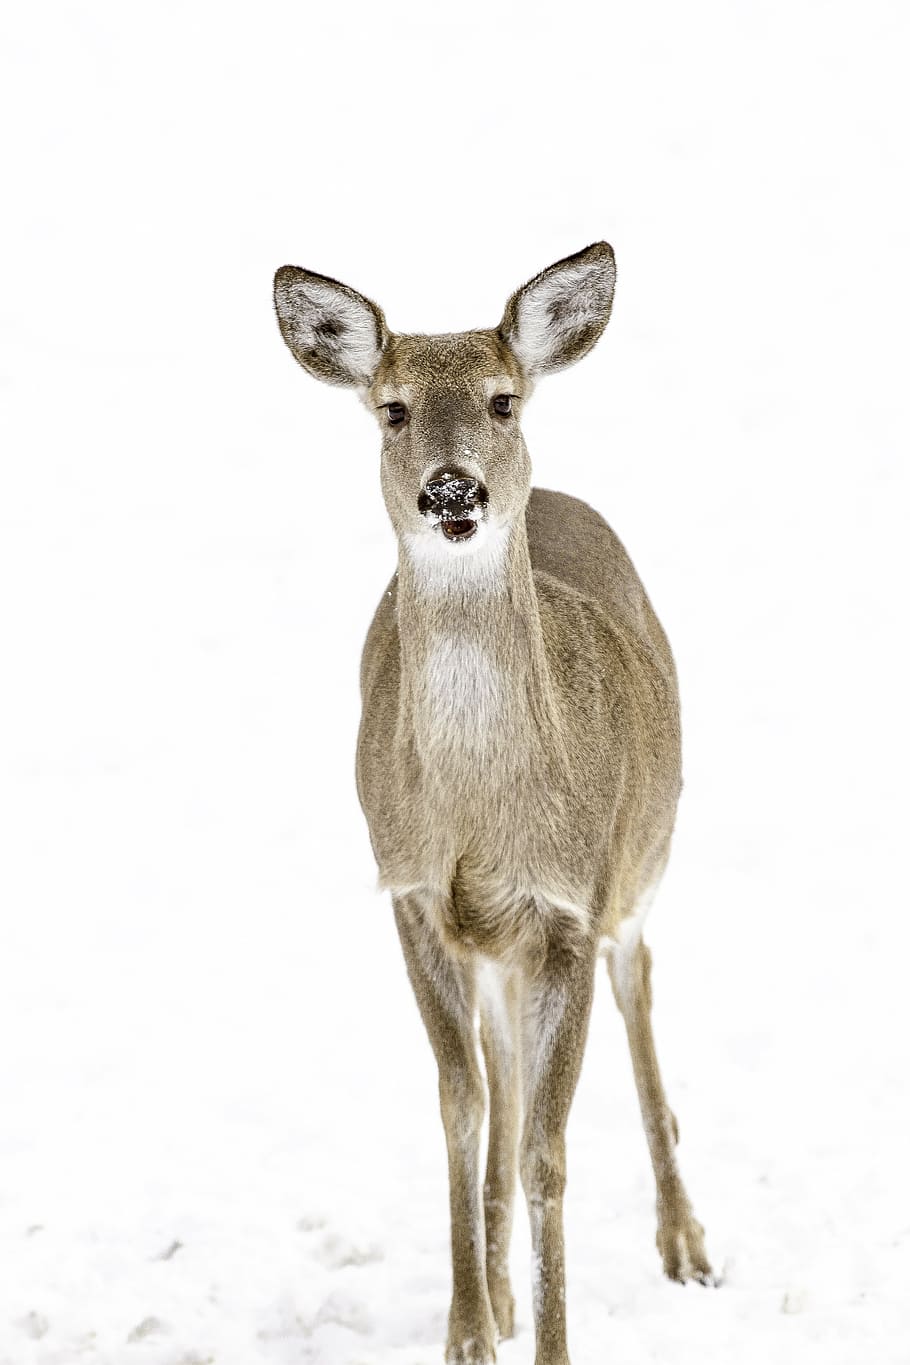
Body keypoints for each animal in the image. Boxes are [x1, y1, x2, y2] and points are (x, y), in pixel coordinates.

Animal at [273, 243, 714, 1365]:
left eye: (502, 400)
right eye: (391, 410)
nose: (451, 488)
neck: (483, 809)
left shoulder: (568, 905)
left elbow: (548, 1149)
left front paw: (551, 1344)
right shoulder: (414, 892)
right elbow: (464, 1107)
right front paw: (471, 1329)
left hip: (638, 863)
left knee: (640, 990)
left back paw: (686, 1242)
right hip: (500, 948)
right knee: (505, 1075)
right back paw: (508, 1289)